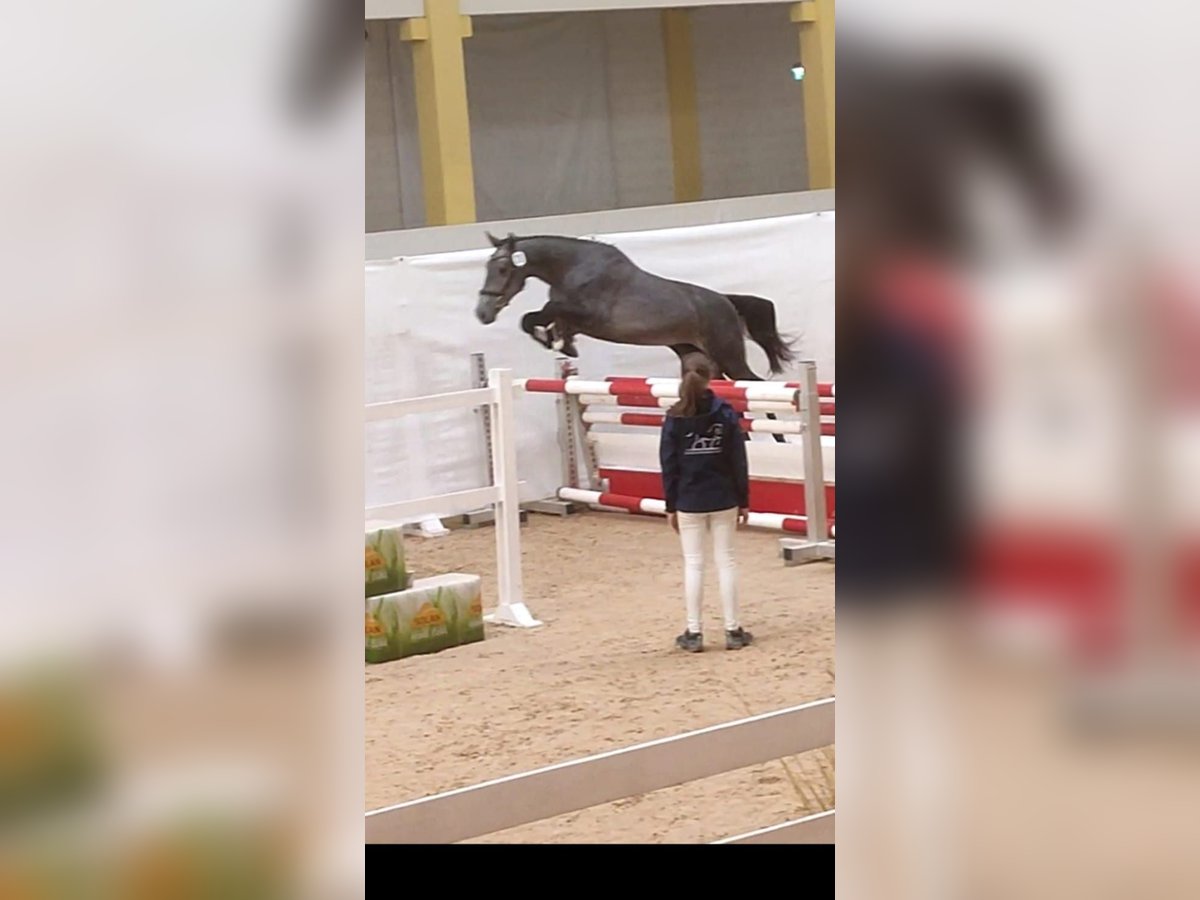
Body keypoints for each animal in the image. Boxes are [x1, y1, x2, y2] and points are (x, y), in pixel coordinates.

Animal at [470, 232, 796, 381]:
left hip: (729, 357)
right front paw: (560, 343)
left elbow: (543, 311)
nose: (482, 313)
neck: (573, 267)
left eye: (502, 269)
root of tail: (727, 302)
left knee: (754, 385)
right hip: (697, 356)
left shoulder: (589, 315)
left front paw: (556, 341)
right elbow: (537, 319)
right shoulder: (575, 319)